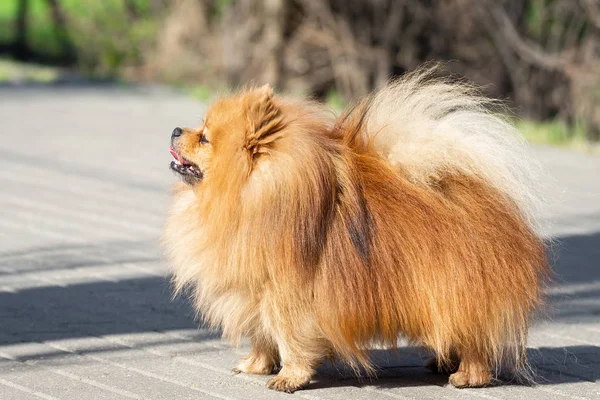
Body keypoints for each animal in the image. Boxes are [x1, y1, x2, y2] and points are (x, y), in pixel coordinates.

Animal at [163, 67, 548, 392]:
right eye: (199, 128)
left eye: (205, 138)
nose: (175, 129)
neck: (242, 197)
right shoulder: (254, 290)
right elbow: (262, 334)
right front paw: (256, 364)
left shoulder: (287, 294)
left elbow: (290, 337)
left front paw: (289, 377)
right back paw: (442, 361)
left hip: (456, 289)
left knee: (476, 341)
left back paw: (468, 375)